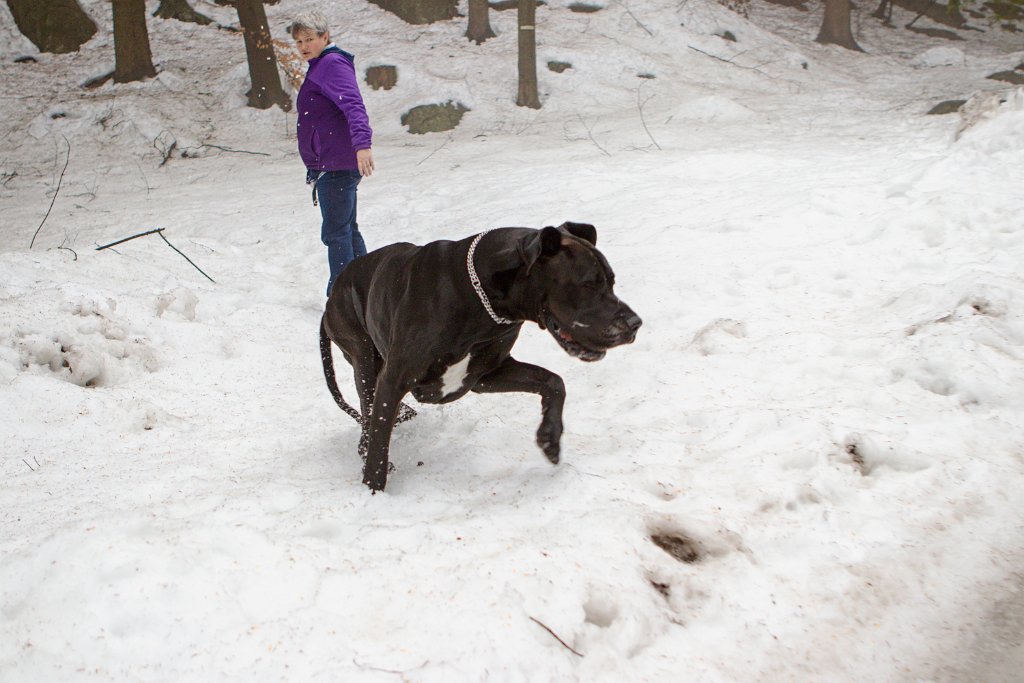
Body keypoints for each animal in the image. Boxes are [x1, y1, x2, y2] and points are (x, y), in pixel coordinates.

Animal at [319, 223, 638, 491]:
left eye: (611, 281)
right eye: (589, 285)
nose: (636, 323)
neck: (480, 301)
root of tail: (331, 294)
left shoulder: (483, 376)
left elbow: (553, 381)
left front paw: (550, 438)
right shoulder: (394, 380)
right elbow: (379, 442)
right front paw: (373, 491)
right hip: (363, 356)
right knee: (367, 414)